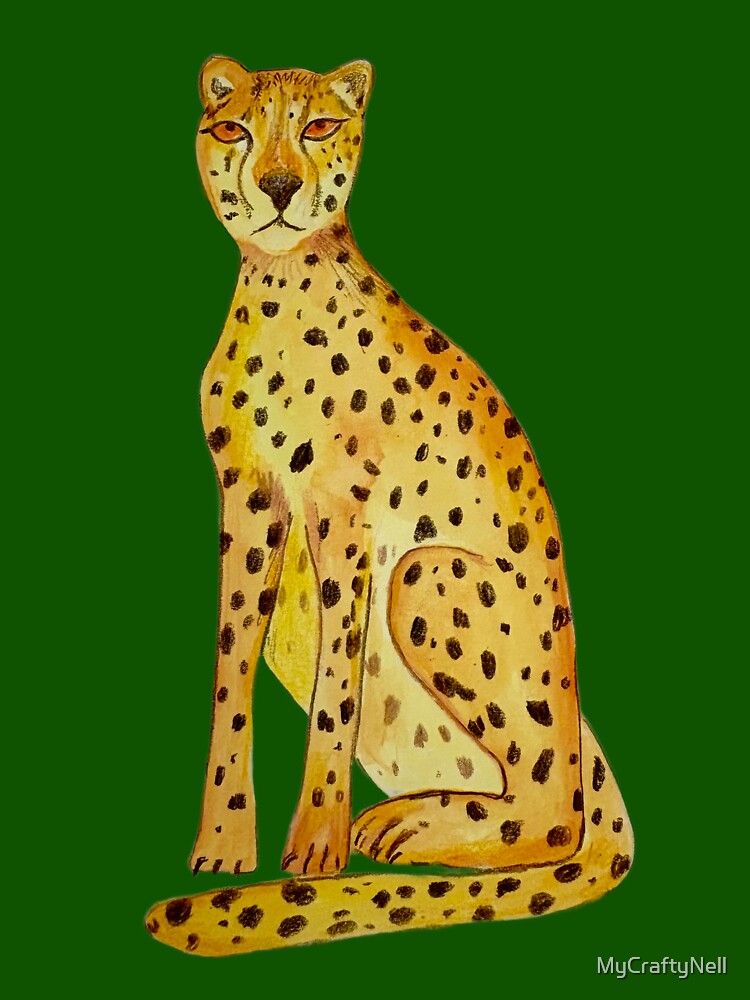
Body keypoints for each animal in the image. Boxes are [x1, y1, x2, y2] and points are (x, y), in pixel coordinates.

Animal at [146, 56, 633, 956]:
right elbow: (230, 670)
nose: (275, 184)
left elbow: (336, 693)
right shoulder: (249, 502)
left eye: (318, 127)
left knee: (557, 814)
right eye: (233, 128)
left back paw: (409, 826)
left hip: (426, 573)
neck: (280, 282)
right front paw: (225, 842)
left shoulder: (345, 517)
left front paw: (315, 850)